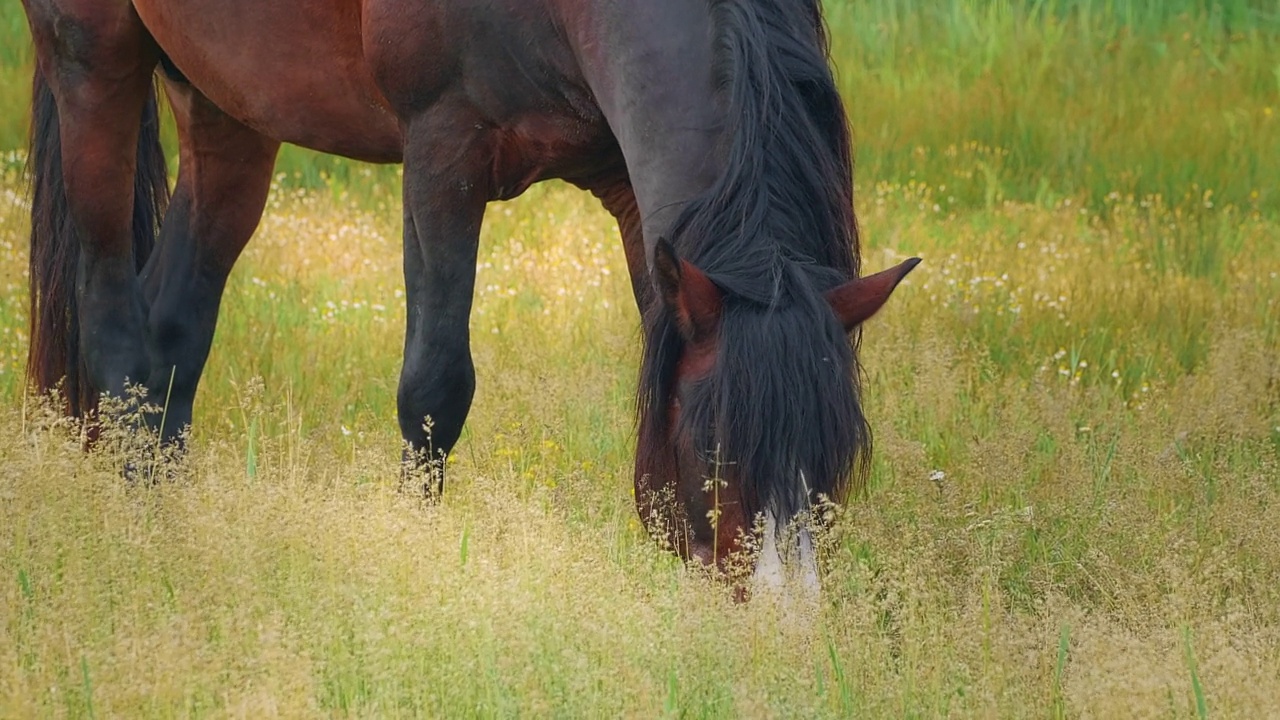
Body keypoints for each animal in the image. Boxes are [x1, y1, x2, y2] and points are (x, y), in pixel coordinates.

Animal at [22, 0, 921, 584]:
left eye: (835, 458)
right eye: (715, 448)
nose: (781, 622)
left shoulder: (633, 195)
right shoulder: (441, 151)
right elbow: (435, 387)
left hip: (227, 104)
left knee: (172, 335)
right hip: (94, 57)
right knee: (113, 323)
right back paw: (140, 537)